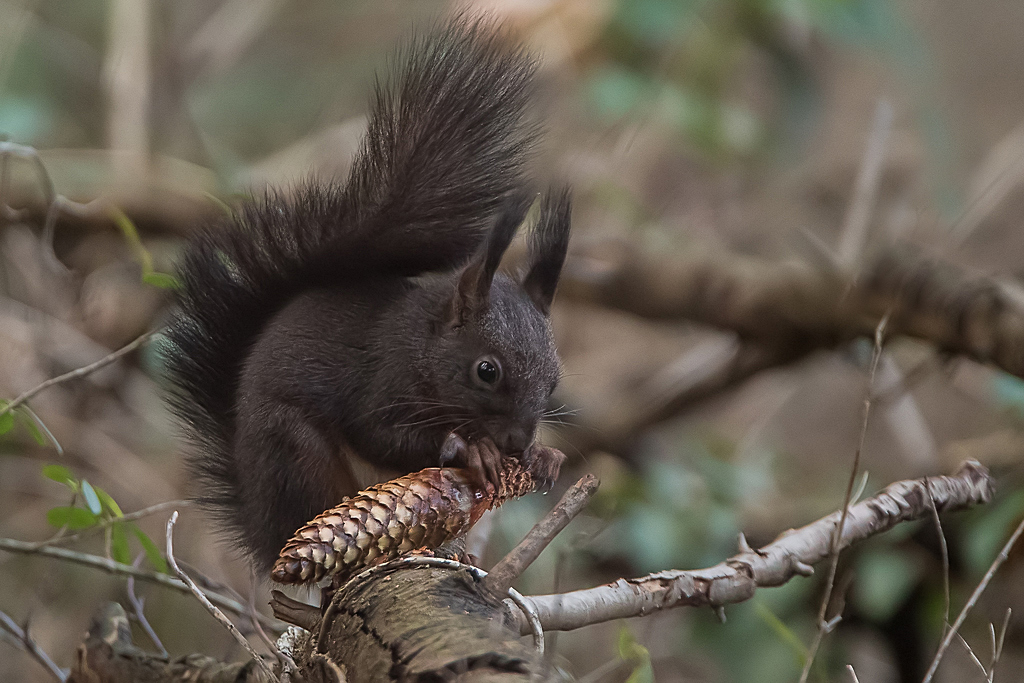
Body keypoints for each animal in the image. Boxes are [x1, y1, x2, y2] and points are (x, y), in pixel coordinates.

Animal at [163, 18, 573, 573]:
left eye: (554, 379)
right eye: (486, 371)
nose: (517, 442)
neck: (424, 347)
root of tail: (261, 528)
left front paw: (543, 456)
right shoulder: (380, 379)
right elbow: (378, 433)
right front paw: (471, 449)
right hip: (293, 454)